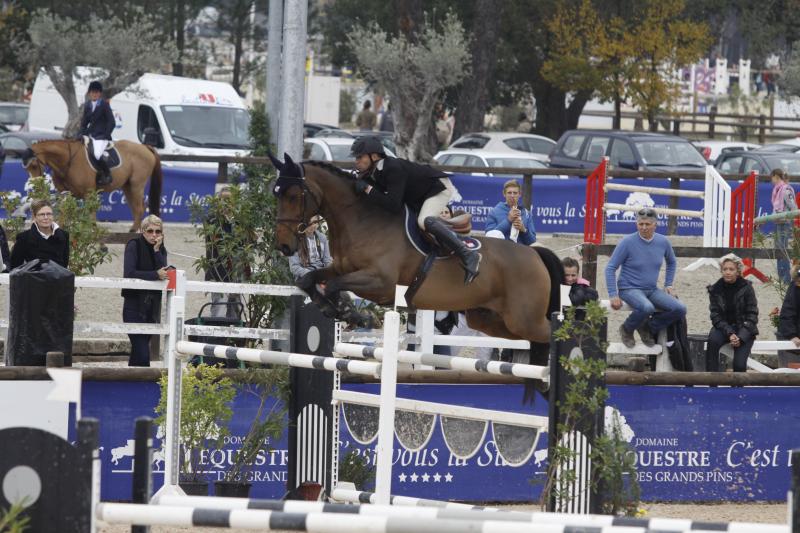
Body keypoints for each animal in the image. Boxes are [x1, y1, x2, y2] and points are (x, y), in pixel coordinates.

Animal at [21, 139, 163, 231]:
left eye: (34, 165)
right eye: (26, 168)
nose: (34, 186)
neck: (67, 161)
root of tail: (145, 147)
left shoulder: (88, 193)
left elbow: (90, 215)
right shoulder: (64, 193)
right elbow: (62, 212)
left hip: (136, 186)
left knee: (139, 208)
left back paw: (133, 232)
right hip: (127, 187)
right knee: (137, 209)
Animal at [270, 154, 565, 387]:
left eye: (294, 196)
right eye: (276, 194)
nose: (283, 246)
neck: (361, 220)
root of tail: (534, 253)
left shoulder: (381, 283)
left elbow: (333, 286)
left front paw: (351, 313)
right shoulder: (337, 269)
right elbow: (310, 280)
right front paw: (332, 308)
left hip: (523, 318)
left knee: (552, 332)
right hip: (492, 320)